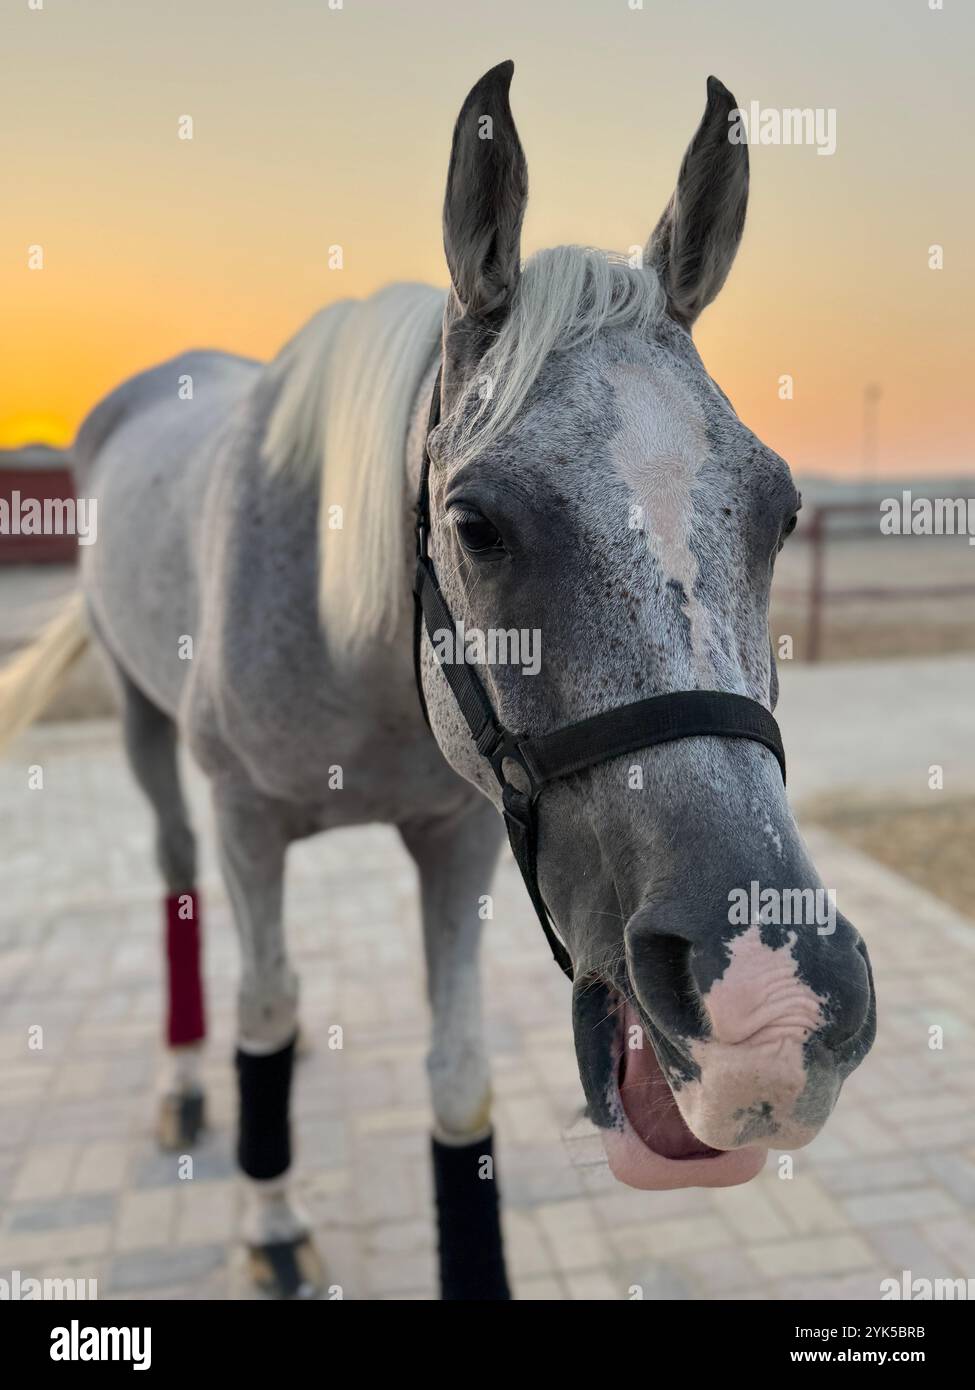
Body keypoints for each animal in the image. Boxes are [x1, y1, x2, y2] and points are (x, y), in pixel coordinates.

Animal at [0, 61, 876, 1300]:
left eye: (782, 510)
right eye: (475, 524)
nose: (769, 1002)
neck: (348, 628)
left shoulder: (461, 837)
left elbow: (458, 1074)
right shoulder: (246, 818)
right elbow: (265, 1010)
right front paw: (271, 1223)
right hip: (144, 729)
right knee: (177, 880)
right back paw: (182, 1084)